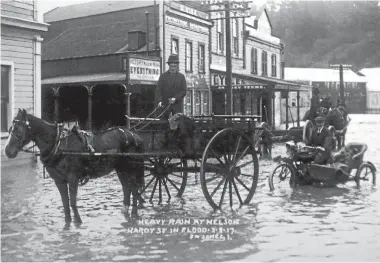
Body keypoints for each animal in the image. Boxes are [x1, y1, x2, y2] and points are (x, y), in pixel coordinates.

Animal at [4, 110, 144, 228]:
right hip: (120, 168)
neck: (58, 145)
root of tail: (135, 135)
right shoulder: (59, 180)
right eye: (10, 128)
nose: (7, 151)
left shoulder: (73, 178)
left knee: (134, 188)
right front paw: (67, 223)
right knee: (127, 188)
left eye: (18, 129)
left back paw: (134, 213)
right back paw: (125, 211)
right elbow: (65, 203)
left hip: (131, 168)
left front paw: (78, 221)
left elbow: (72, 201)